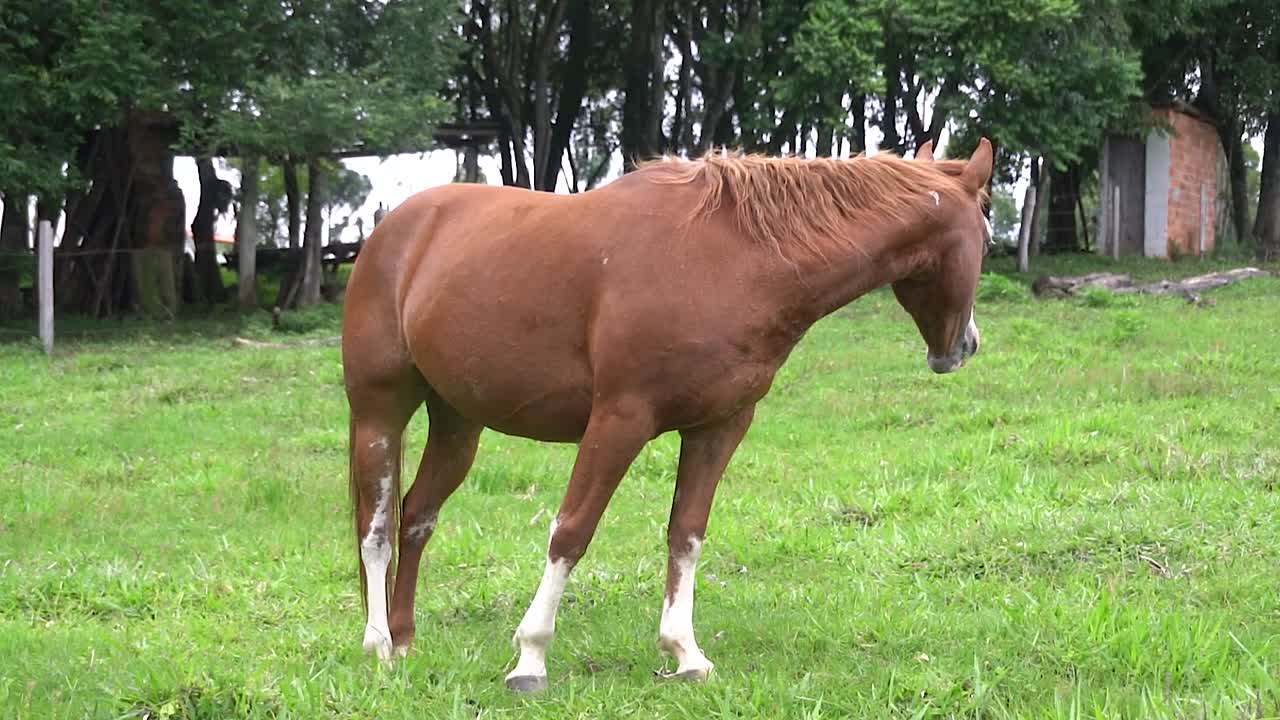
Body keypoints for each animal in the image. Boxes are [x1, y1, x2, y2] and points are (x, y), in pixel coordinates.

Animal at [340, 137, 993, 692]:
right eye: (986, 234)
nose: (964, 347)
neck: (733, 256)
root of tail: (394, 230)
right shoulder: (619, 420)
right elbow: (571, 531)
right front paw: (530, 658)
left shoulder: (718, 427)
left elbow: (687, 534)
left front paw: (685, 653)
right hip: (378, 412)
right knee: (375, 527)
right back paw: (377, 644)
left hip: (459, 422)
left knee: (416, 517)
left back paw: (404, 640)